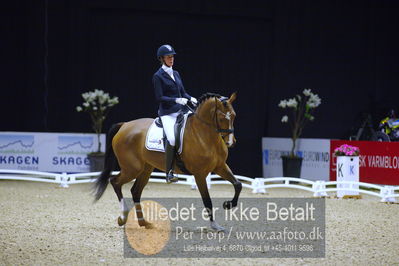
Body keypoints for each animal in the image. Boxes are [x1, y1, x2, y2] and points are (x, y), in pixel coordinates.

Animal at [94, 91, 242, 231]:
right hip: (132, 169)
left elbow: (238, 184)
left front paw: (228, 204)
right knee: (115, 182)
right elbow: (207, 200)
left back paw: (144, 223)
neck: (204, 135)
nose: (231, 143)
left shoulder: (220, 166)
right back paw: (123, 217)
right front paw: (215, 226)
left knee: (135, 191)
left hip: (146, 169)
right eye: (222, 118)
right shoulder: (199, 174)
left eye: (234, 116)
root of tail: (124, 125)